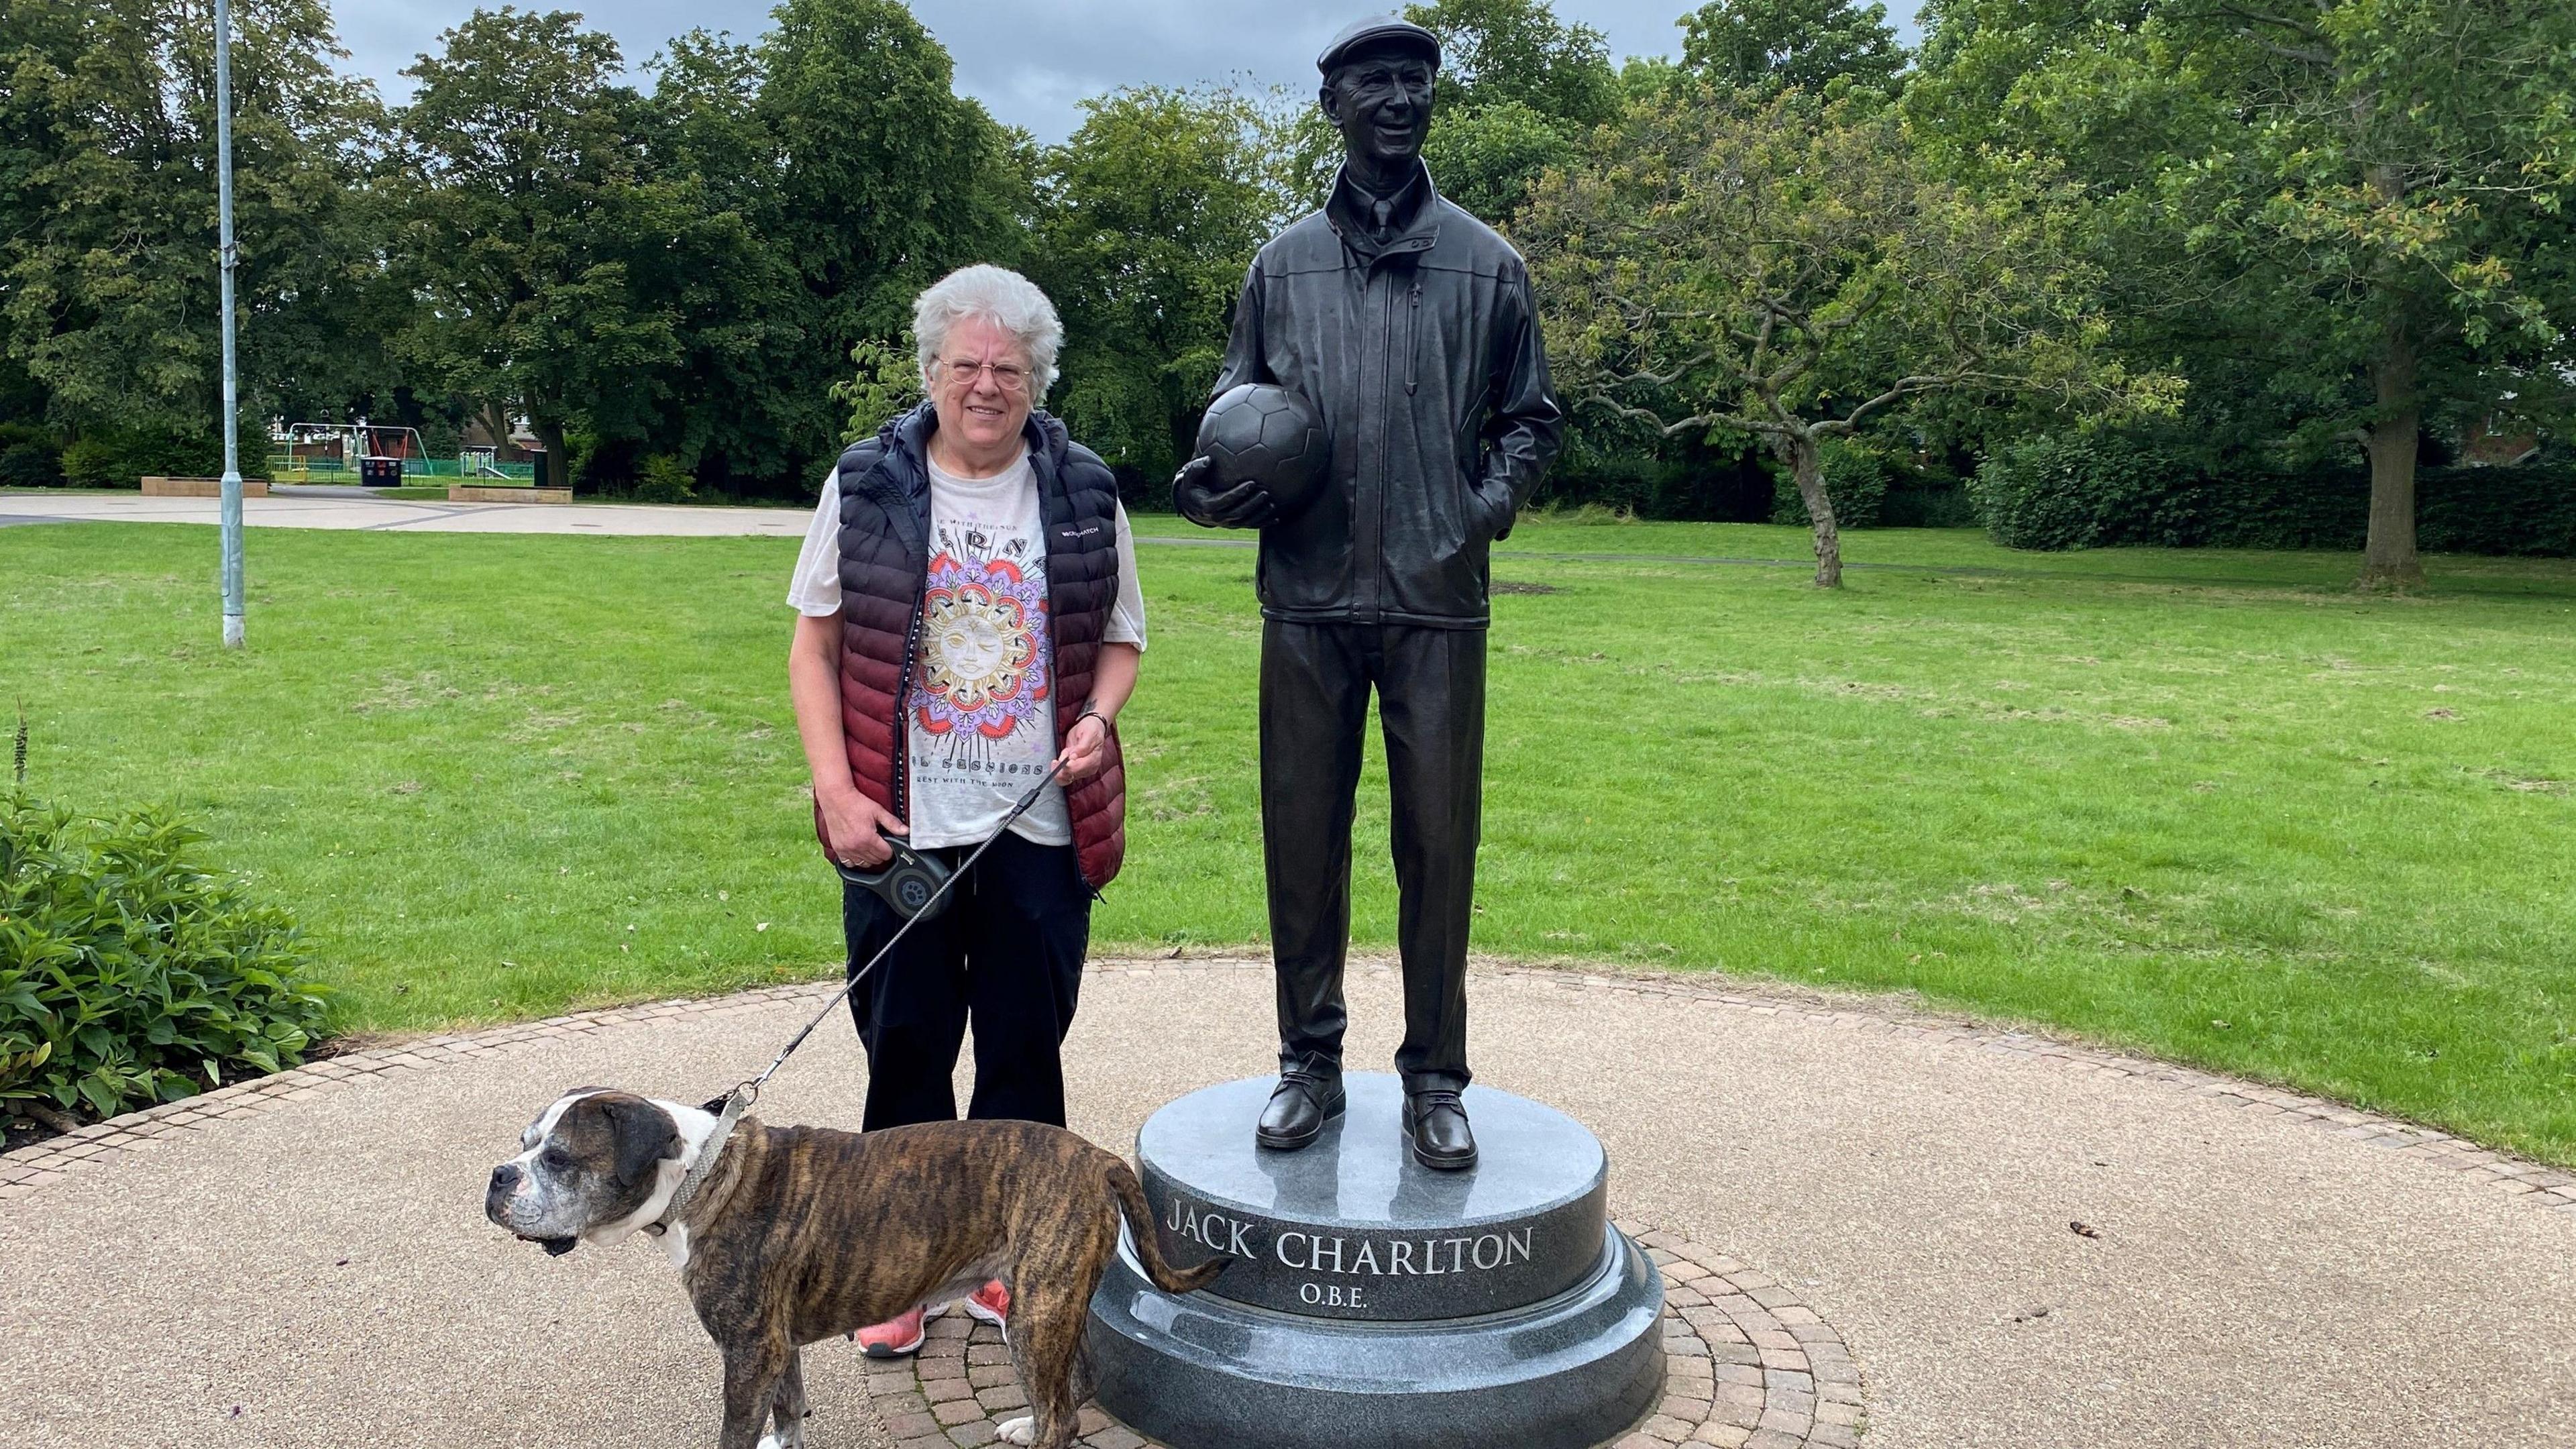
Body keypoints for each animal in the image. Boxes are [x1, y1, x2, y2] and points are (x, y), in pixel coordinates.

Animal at [494, 1087, 1236, 1444]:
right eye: (525, 1143)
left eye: (558, 1158)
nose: (499, 1176)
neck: (702, 1173)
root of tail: (1096, 1157)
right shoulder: (775, 1347)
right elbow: (789, 1414)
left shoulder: (748, 1352)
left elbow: (740, 1430)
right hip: (1049, 1306)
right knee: (1073, 1386)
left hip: (1037, 1312)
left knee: (1063, 1416)